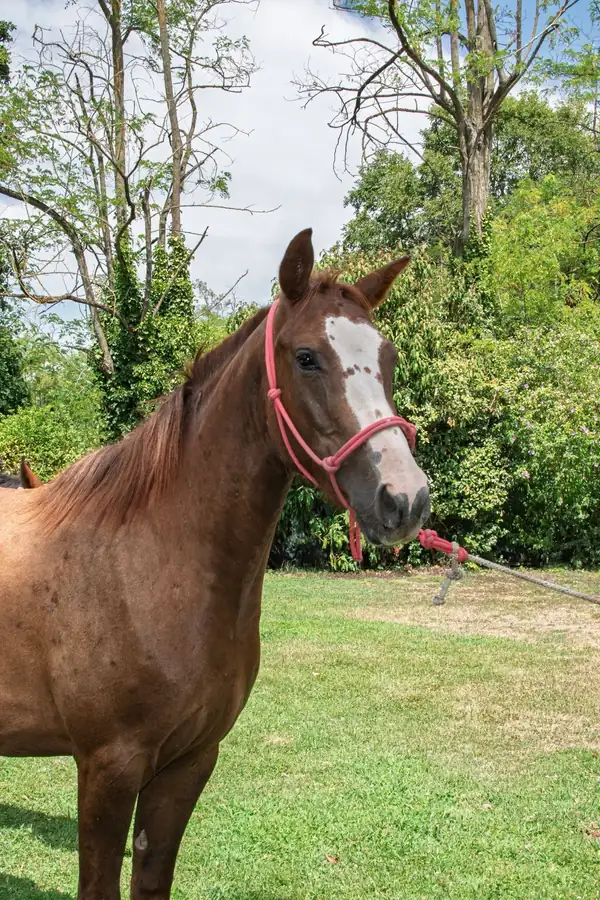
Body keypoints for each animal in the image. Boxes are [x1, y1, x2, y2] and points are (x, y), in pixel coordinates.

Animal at [0, 228, 430, 900]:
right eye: (306, 357)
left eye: (387, 360)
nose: (404, 499)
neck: (148, 566)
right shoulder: (107, 768)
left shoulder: (190, 763)